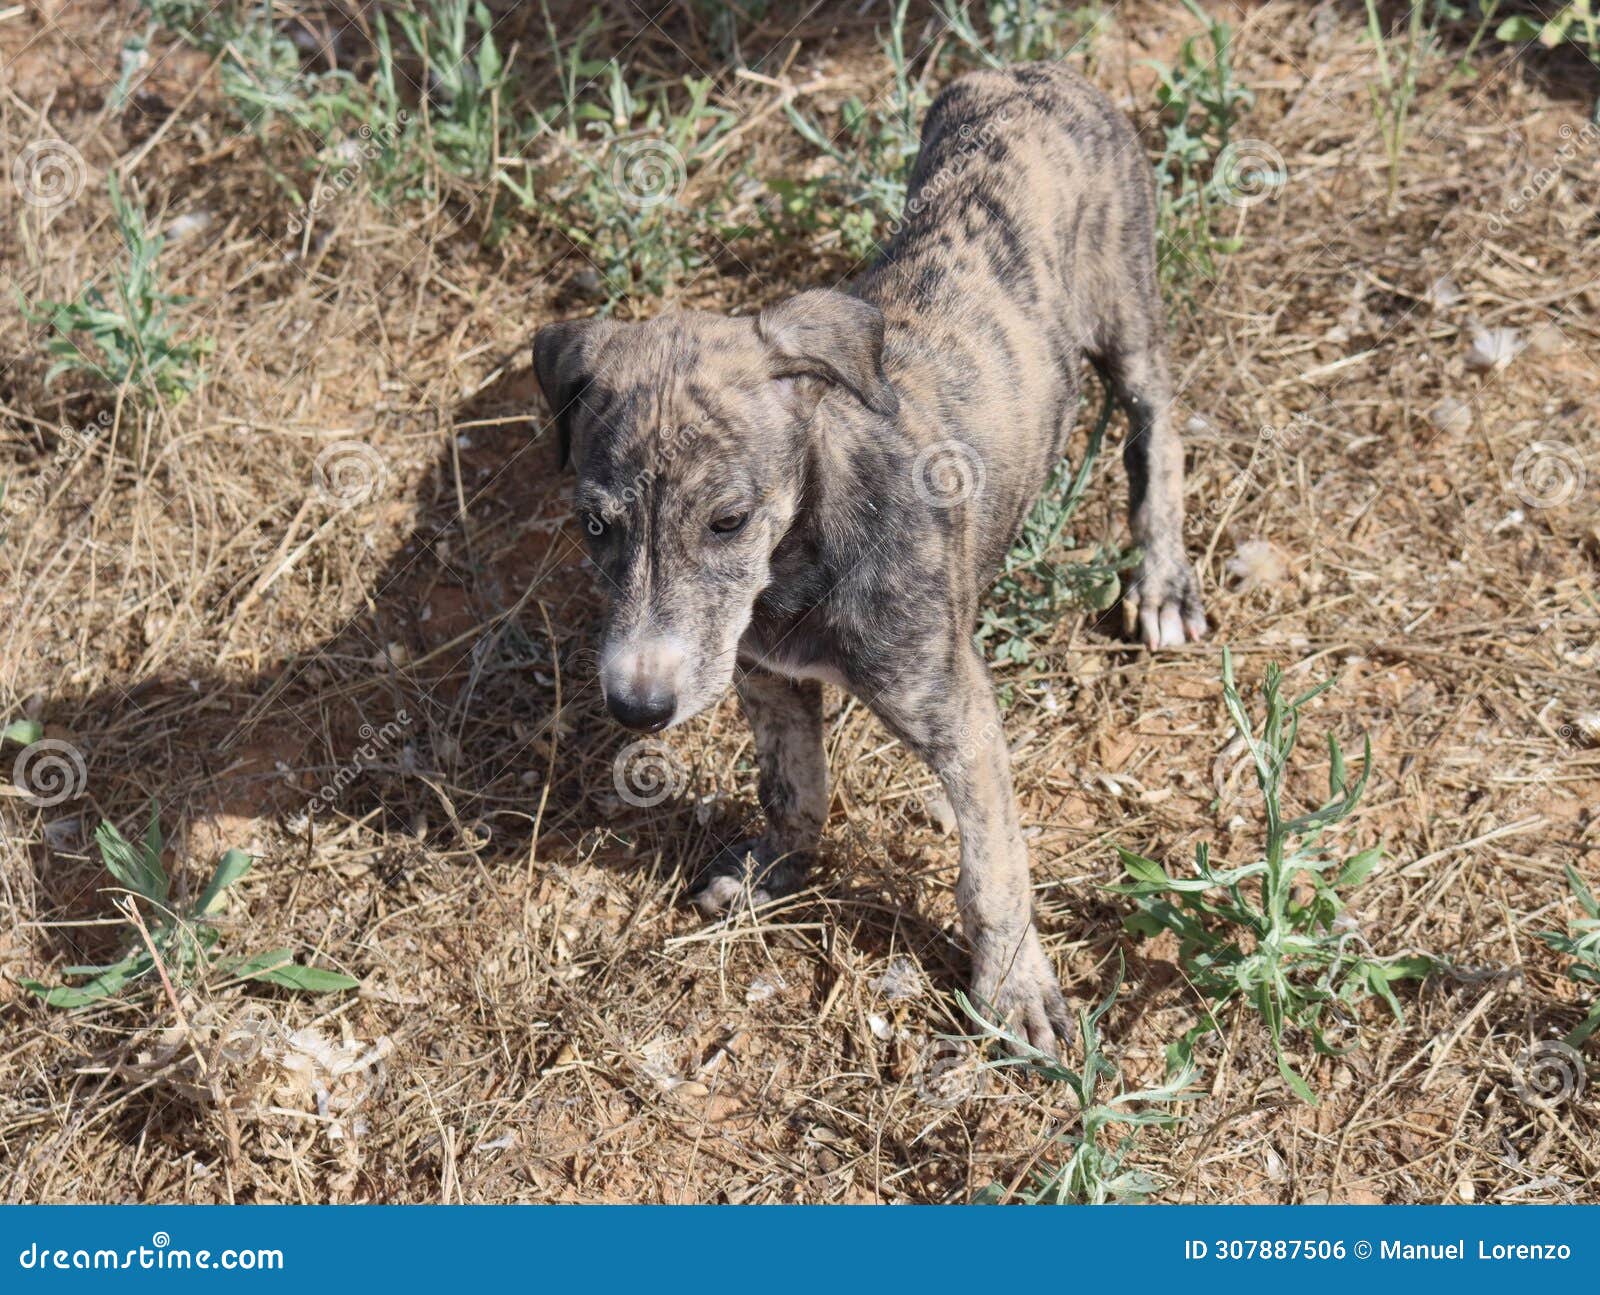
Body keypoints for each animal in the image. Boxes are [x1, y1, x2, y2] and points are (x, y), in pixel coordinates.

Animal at [531, 63, 1203, 1050]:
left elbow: (991, 865)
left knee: (1157, 417)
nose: (637, 707)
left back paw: (1160, 576)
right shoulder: (763, 675)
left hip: (1127, 294)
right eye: (593, 525)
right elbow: (793, 785)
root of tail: (1034, 69)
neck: (802, 557)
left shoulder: (959, 713)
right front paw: (775, 868)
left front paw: (1013, 985)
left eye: (728, 520)